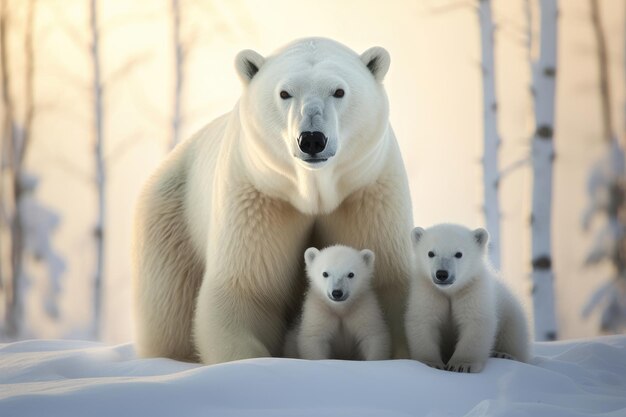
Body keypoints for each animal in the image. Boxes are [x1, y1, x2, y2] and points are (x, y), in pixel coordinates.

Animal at [132, 39, 412, 364]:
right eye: (284, 92)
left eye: (339, 91)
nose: (312, 139)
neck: (313, 191)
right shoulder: (260, 197)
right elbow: (246, 289)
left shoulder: (366, 194)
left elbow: (391, 280)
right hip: (171, 222)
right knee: (169, 310)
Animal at [404, 223, 528, 372]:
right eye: (430, 253)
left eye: (459, 254)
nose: (442, 274)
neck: (450, 291)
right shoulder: (429, 290)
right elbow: (424, 320)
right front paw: (430, 363)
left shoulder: (472, 289)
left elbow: (475, 321)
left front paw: (462, 365)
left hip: (511, 311)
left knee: (513, 333)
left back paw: (504, 354)